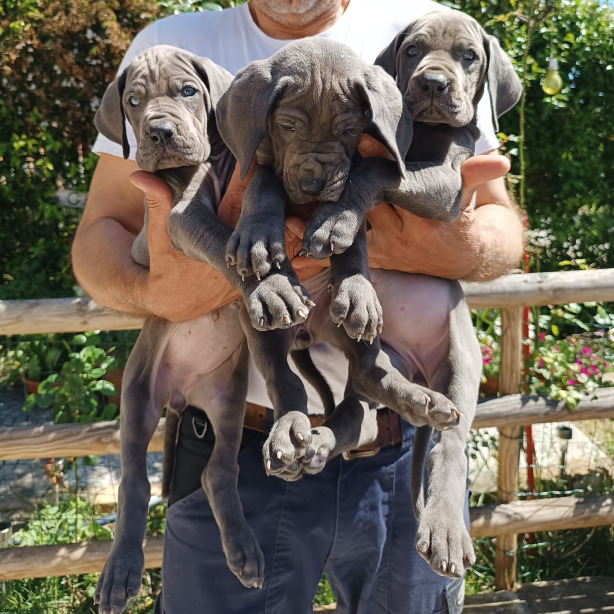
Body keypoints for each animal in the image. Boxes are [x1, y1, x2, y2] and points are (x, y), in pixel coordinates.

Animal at [93, 45, 320, 612]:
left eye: (188, 91)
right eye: (133, 102)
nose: (158, 132)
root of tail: (182, 395)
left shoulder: (252, 170)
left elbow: (260, 199)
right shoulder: (177, 217)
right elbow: (222, 242)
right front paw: (270, 284)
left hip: (232, 391)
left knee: (224, 464)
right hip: (139, 392)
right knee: (134, 481)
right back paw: (121, 571)